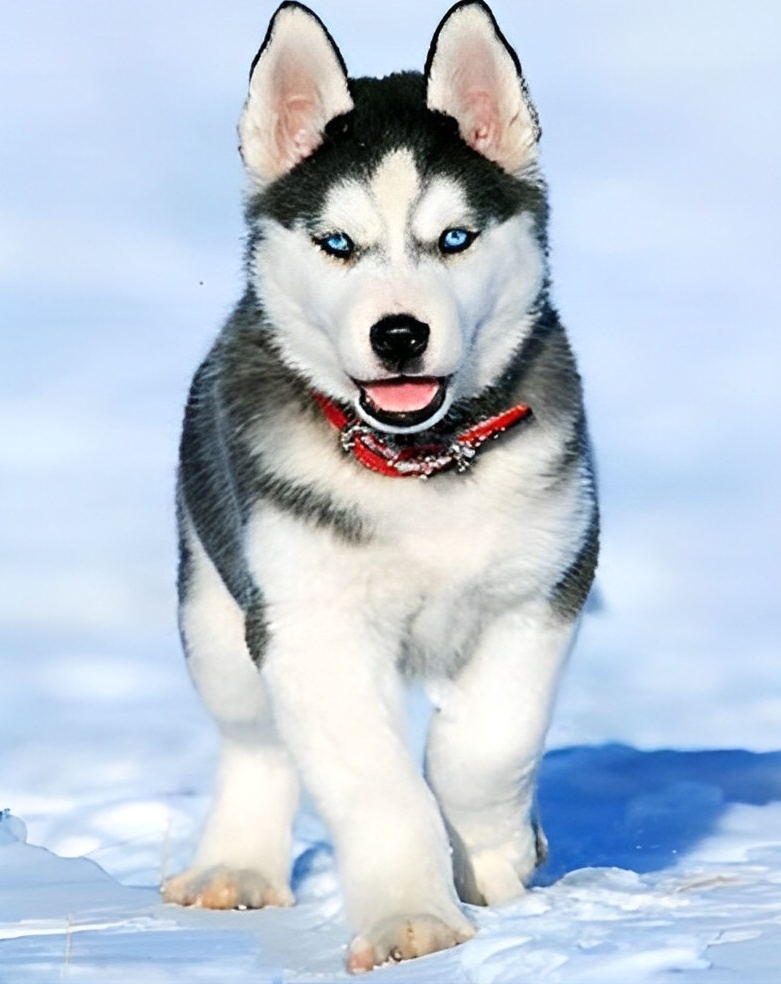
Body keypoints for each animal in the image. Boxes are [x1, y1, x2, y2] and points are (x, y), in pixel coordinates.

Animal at [163, 0, 596, 968]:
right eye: (337, 245)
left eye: (453, 239)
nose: (399, 334)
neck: (417, 464)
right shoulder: (309, 624)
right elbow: (375, 783)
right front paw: (412, 918)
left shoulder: (541, 587)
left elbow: (486, 746)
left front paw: (498, 855)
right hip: (216, 610)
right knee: (256, 741)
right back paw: (235, 867)